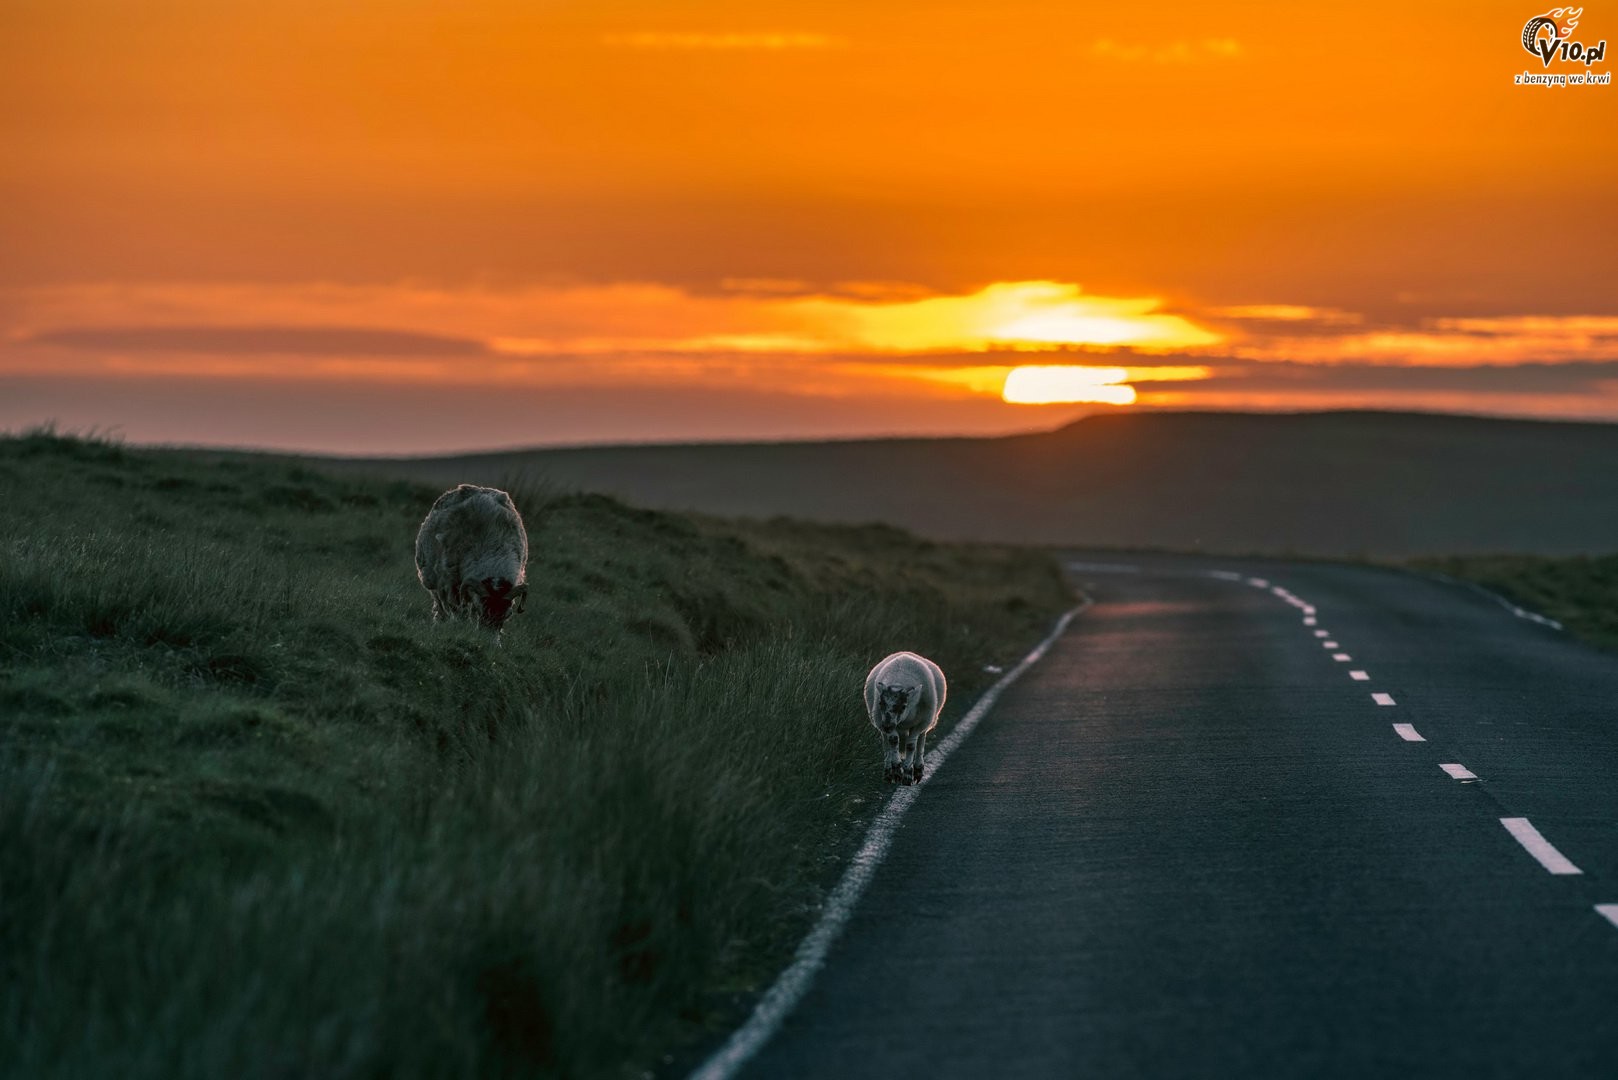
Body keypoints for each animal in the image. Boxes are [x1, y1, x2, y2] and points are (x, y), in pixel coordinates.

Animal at [414, 482, 527, 634]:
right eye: (482, 609)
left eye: (507, 614)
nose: (488, 637)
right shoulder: (451, 584)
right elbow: (458, 610)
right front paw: (460, 626)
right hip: (433, 580)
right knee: (441, 606)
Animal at [860, 650, 944, 786]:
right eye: (880, 703)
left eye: (904, 706)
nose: (887, 726)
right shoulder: (884, 722)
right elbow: (893, 740)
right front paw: (896, 771)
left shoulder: (919, 724)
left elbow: (911, 746)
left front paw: (908, 774)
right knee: (887, 744)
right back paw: (888, 772)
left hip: (926, 722)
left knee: (920, 741)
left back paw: (918, 770)